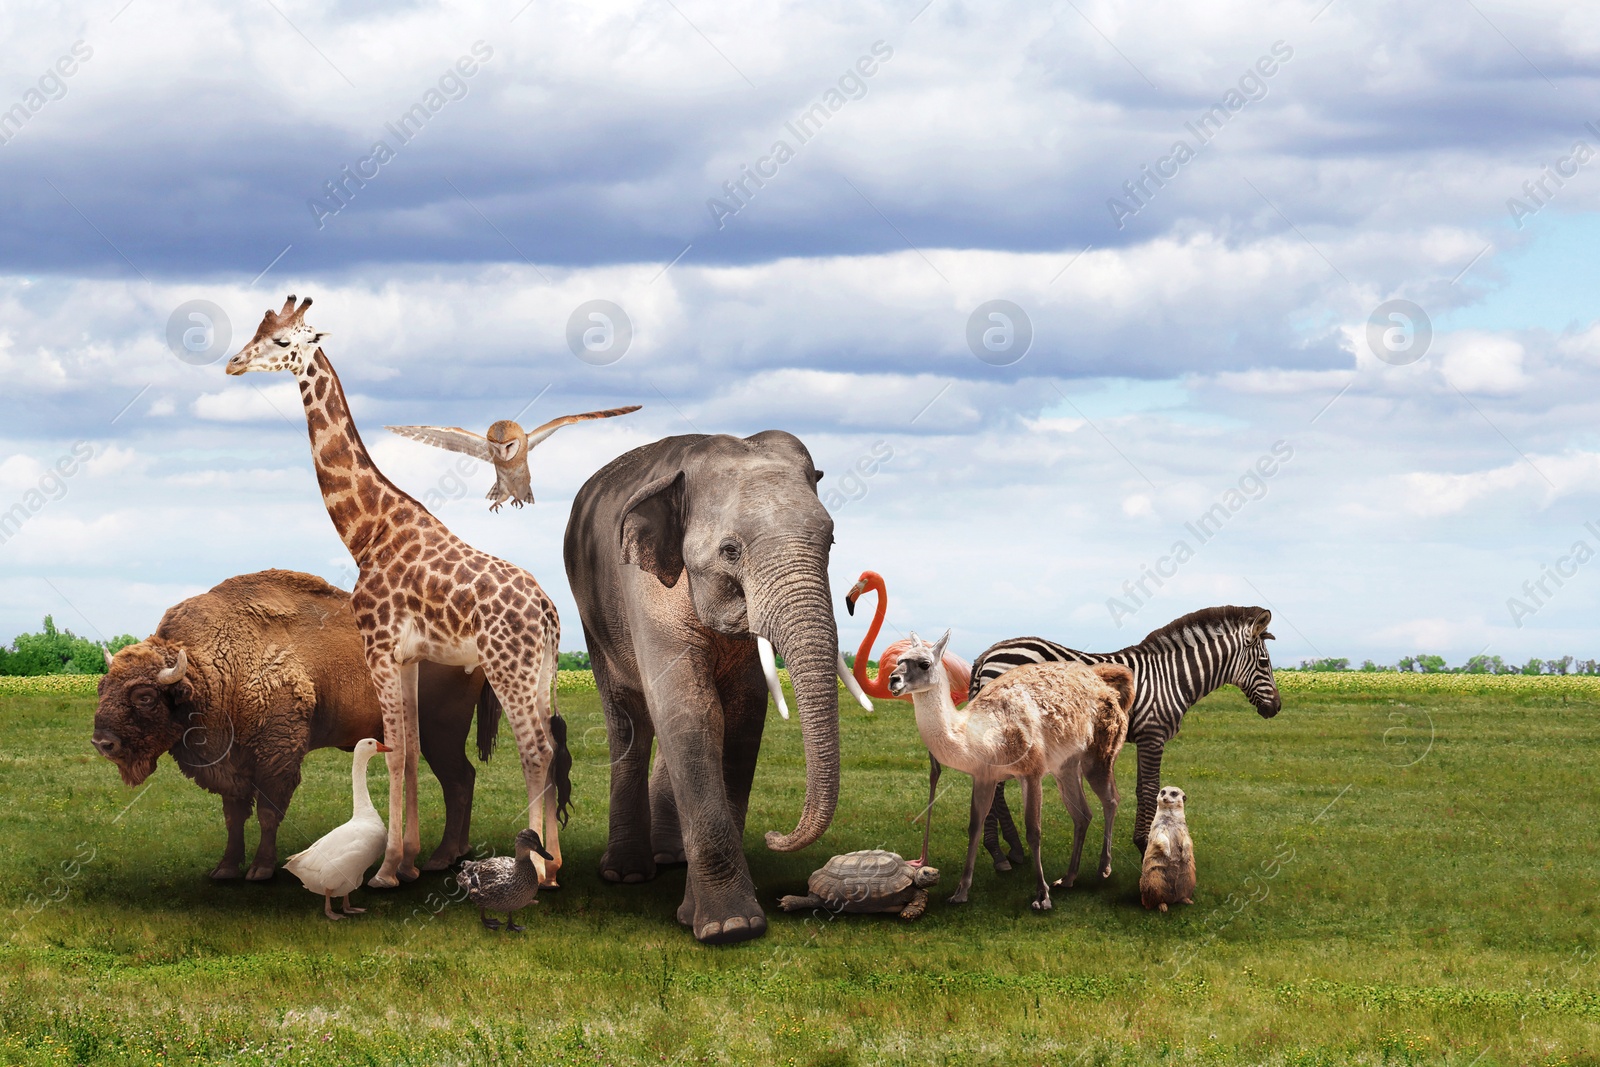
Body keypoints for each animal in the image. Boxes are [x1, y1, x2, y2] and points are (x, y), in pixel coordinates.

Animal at [93, 572, 569, 883]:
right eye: (103, 686)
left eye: (144, 695)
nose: (102, 742)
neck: (209, 670)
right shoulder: (231, 764)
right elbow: (234, 815)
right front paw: (225, 869)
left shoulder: (276, 756)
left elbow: (267, 812)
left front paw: (260, 869)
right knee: (462, 780)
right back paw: (450, 856)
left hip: (441, 733)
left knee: (457, 780)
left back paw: (438, 859)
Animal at [228, 295, 566, 889]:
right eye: (255, 333)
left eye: (283, 342)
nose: (234, 363)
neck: (368, 532)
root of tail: (548, 612)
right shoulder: (407, 656)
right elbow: (406, 752)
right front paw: (405, 863)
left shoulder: (379, 646)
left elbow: (393, 755)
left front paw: (384, 871)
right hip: (541, 670)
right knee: (546, 747)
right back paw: (554, 866)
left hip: (509, 667)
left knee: (536, 751)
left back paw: (538, 870)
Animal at [563, 428, 864, 947]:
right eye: (730, 551)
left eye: (830, 540)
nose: (775, 838)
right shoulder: (645, 589)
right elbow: (691, 710)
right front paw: (730, 928)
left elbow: (741, 717)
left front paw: (710, 917)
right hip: (593, 613)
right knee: (630, 721)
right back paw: (627, 873)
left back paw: (670, 857)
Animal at [953, 604, 1280, 863]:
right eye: (1265, 663)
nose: (1276, 708)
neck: (1172, 678)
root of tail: (987, 655)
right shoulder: (1153, 734)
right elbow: (1149, 789)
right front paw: (1145, 844)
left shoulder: (1145, 735)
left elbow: (1142, 788)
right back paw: (1000, 852)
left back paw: (1010, 849)